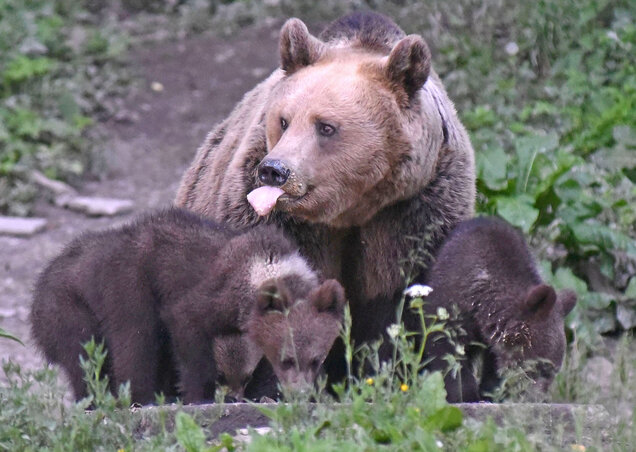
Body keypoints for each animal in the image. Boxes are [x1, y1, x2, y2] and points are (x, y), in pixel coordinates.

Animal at [176, 11, 474, 382]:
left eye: (326, 127)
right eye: (284, 120)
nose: (274, 170)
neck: (352, 208)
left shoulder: (414, 211)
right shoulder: (277, 220)